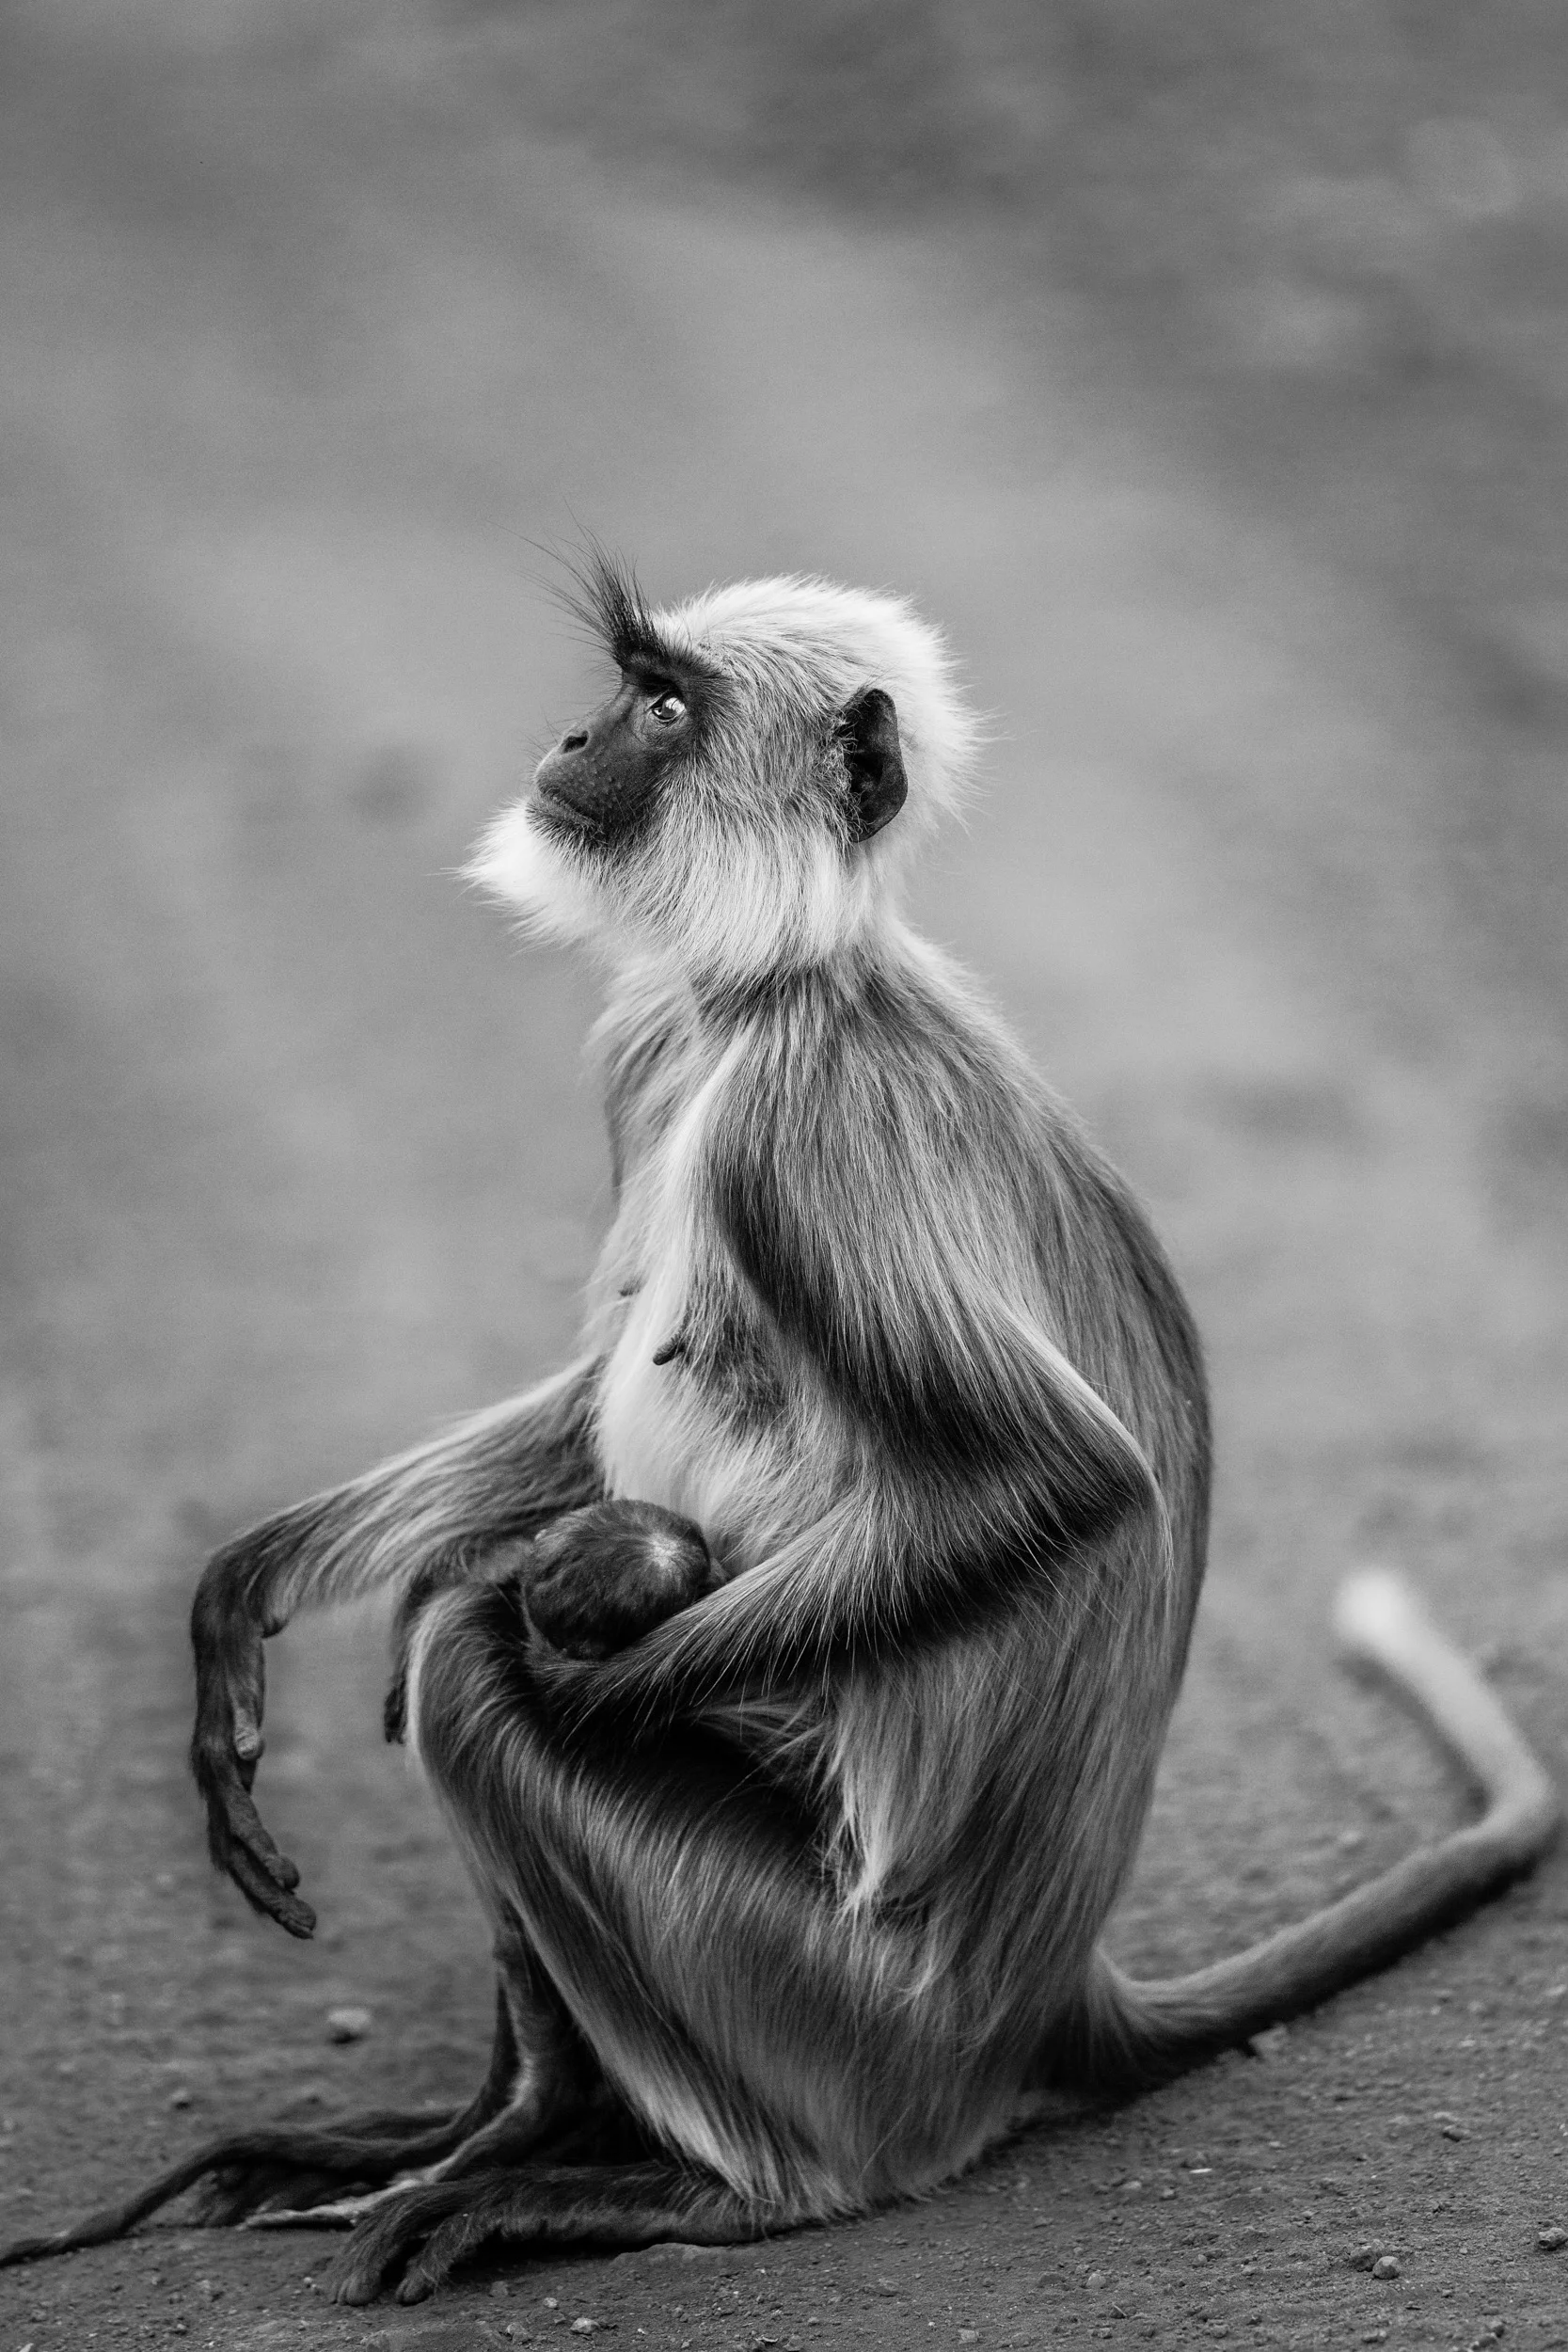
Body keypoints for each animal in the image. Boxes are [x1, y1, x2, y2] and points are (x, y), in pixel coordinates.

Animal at [3, 558, 1556, 2306]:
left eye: (664, 708)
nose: (571, 739)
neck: (786, 987)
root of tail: (1045, 1998)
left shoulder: (796, 1136)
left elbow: (1061, 1481)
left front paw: (546, 1661)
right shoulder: (653, 1046)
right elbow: (583, 1408)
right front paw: (250, 1589)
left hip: (831, 2004)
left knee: (475, 1668)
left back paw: (709, 2179)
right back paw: (503, 2127)